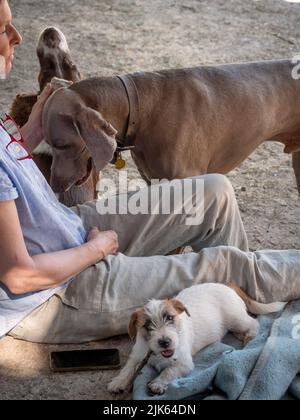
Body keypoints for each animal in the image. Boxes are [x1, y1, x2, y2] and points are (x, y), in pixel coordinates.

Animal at [108, 282, 286, 398]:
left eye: (170, 318)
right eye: (147, 325)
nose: (165, 342)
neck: (157, 354)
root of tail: (227, 285)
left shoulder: (184, 363)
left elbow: (169, 370)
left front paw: (157, 383)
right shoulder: (138, 354)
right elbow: (128, 367)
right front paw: (118, 382)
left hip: (236, 319)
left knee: (254, 323)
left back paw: (249, 337)